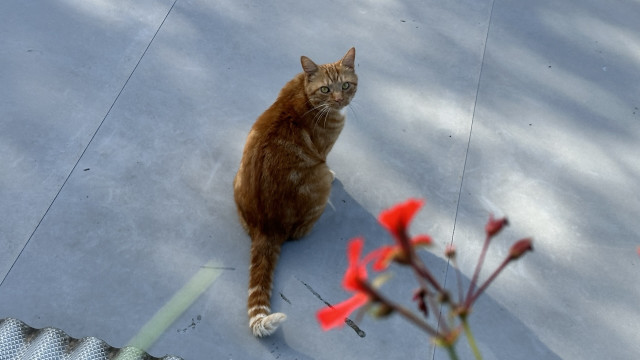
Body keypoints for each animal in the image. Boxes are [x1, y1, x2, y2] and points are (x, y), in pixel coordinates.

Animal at [234, 47, 358, 338]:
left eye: (346, 85)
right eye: (326, 89)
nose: (339, 99)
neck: (304, 93)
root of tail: (266, 229)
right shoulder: (324, 153)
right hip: (319, 182)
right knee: (301, 231)